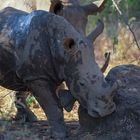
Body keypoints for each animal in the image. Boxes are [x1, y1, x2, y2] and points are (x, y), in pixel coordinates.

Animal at [0, 7, 118, 137]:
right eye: (81, 83)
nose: (106, 110)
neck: (62, 52)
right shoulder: (37, 77)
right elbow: (53, 106)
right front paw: (60, 135)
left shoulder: (52, 73)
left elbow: (57, 104)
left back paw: (29, 119)